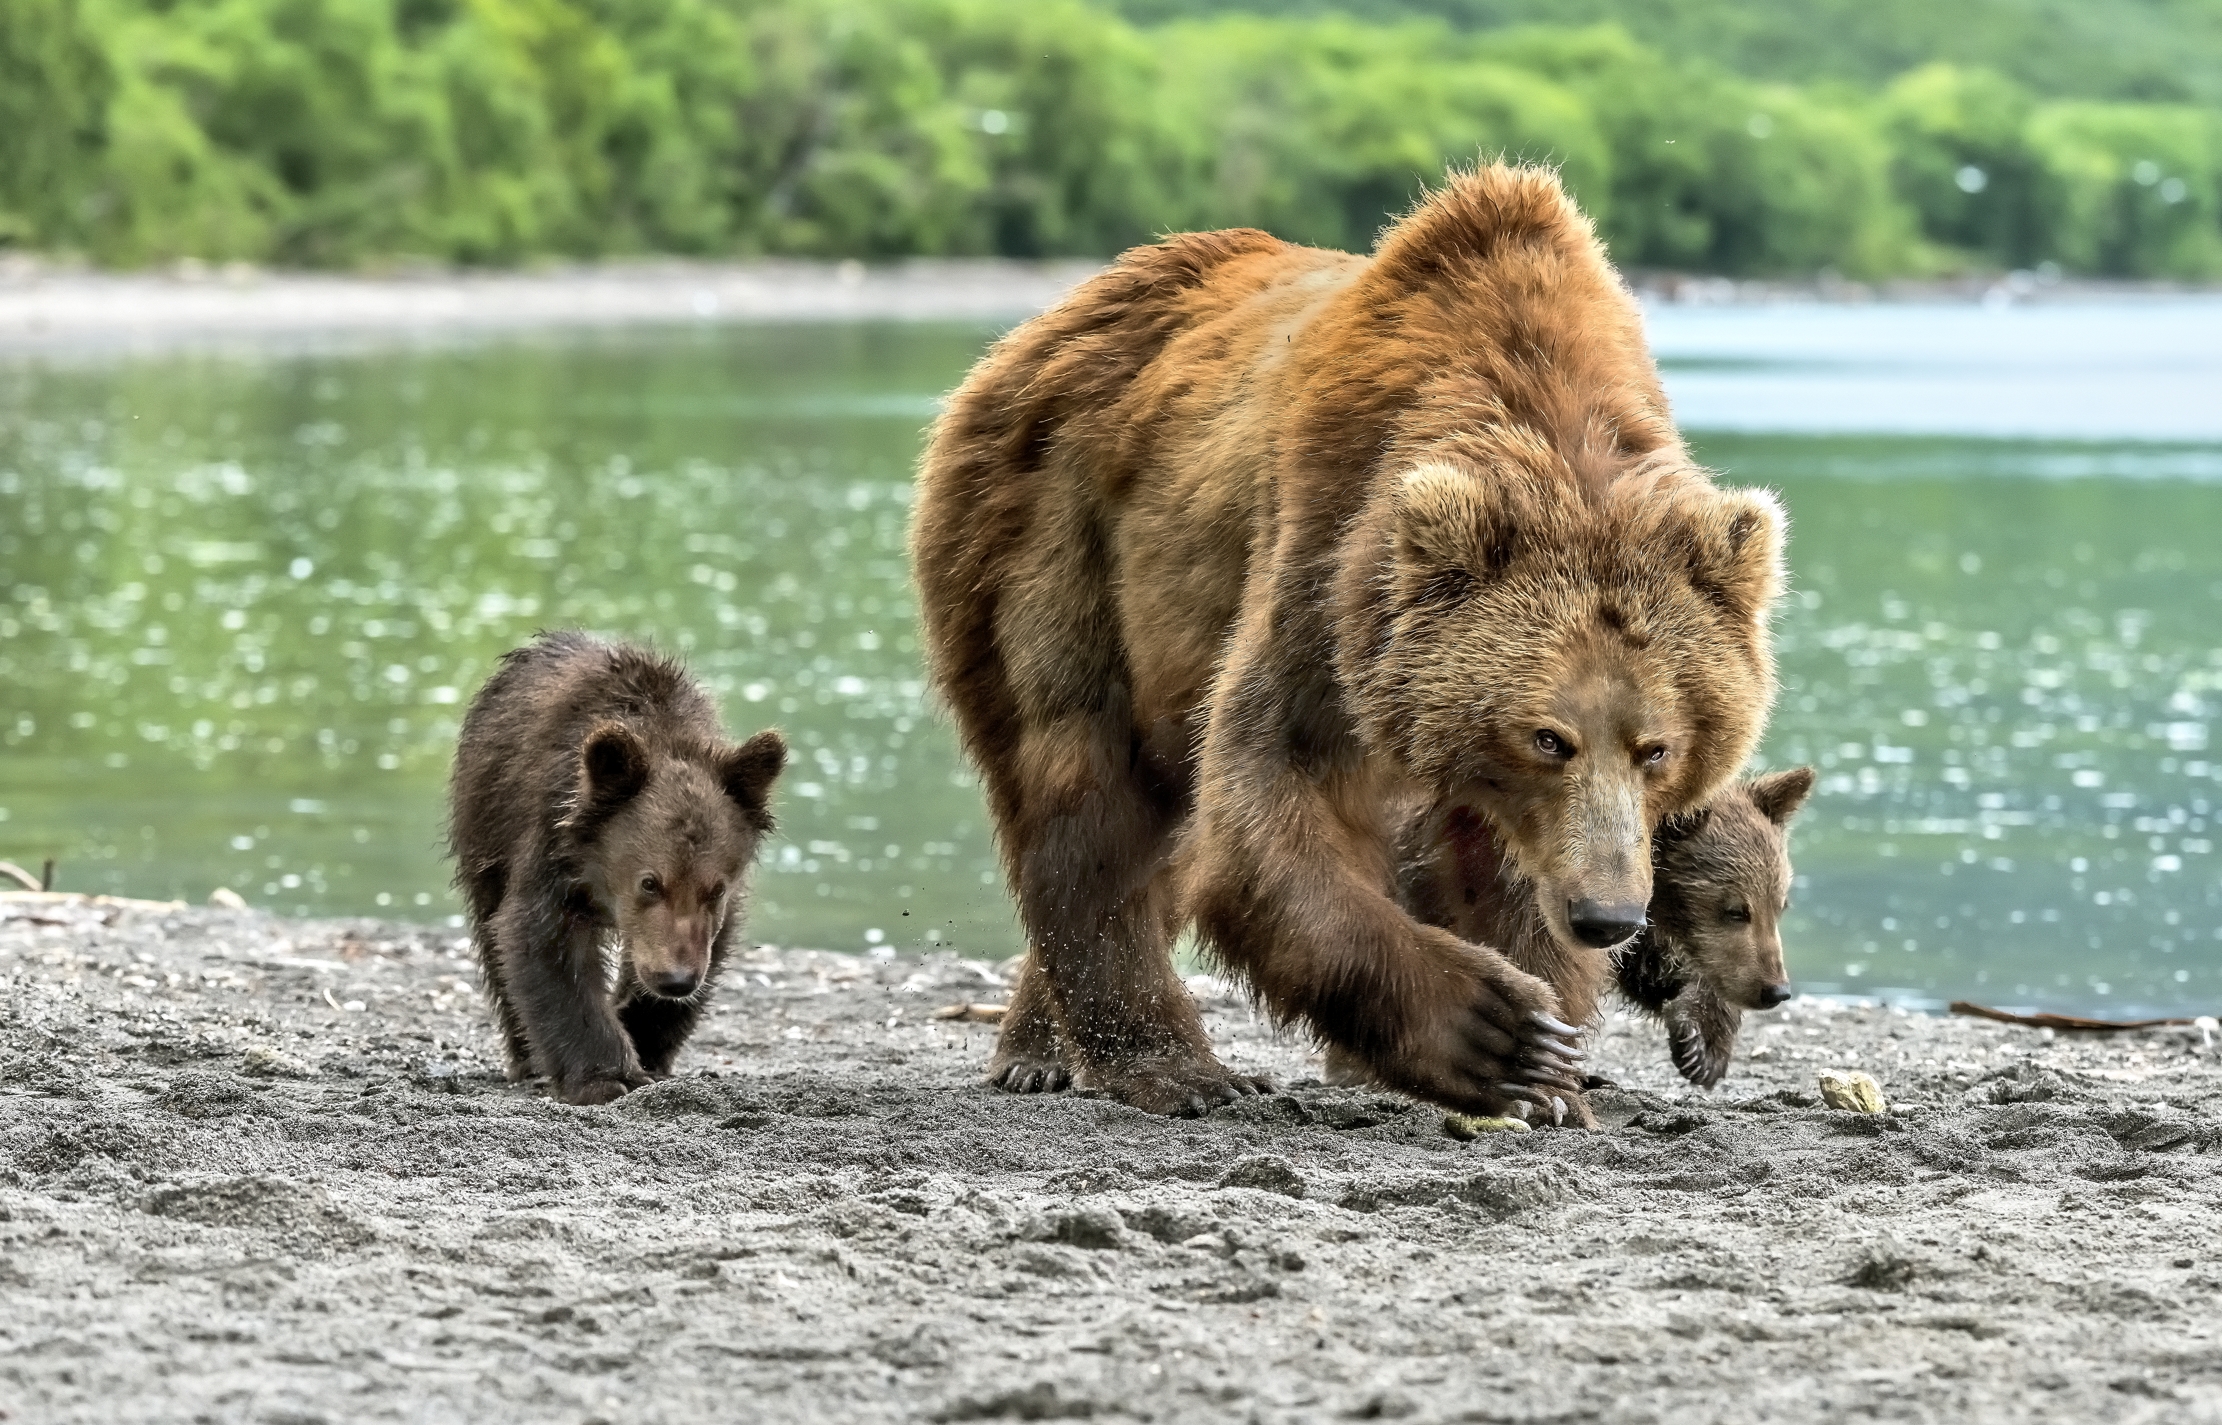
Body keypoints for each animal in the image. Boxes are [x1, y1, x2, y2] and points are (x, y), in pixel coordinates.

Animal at [447, 631, 786, 1105]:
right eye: (650, 882)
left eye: (715, 888)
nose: (676, 979)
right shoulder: (551, 846)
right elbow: (545, 946)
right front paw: (606, 1075)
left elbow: (711, 940)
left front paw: (644, 1041)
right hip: (485, 828)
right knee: (491, 933)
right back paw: (527, 1057)